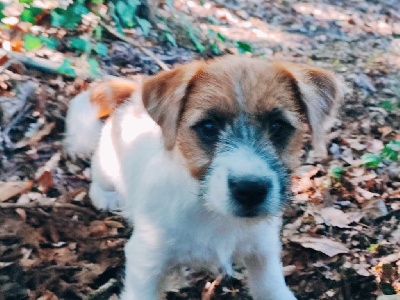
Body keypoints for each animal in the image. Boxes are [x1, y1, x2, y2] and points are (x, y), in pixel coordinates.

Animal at [64, 56, 342, 300]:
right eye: (208, 127)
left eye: (278, 126)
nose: (251, 190)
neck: (212, 213)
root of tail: (133, 98)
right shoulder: (145, 261)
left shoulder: (263, 255)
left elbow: (272, 290)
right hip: (107, 165)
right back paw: (106, 197)